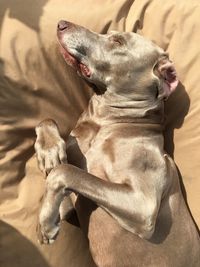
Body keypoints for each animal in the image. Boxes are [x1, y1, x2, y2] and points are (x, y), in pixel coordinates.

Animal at [34, 19, 200, 266]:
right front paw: (49, 151)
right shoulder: (68, 208)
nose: (62, 24)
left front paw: (45, 223)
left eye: (117, 41)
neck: (106, 122)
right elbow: (48, 123)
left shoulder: (143, 205)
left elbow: (65, 171)